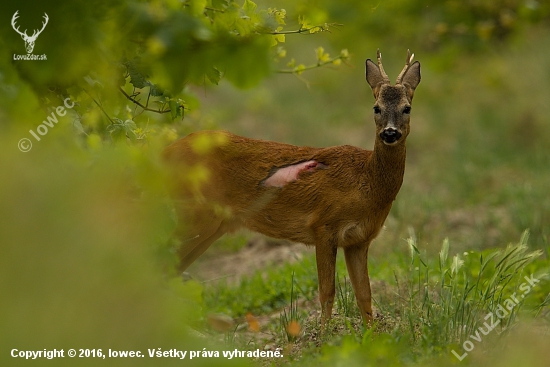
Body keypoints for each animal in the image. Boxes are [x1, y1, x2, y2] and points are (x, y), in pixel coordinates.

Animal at [164, 49, 422, 328]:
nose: (390, 133)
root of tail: (164, 153)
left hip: (209, 224)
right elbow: (327, 291)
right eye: (376, 108)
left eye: (407, 108)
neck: (367, 183)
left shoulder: (359, 239)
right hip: (194, 214)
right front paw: (323, 333)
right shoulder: (324, 225)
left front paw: (372, 333)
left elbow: (364, 294)